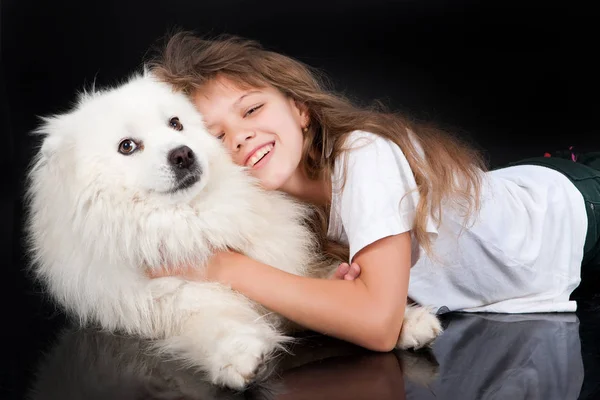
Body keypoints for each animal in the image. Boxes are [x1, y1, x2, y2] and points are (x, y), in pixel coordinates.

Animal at [25, 71, 442, 388]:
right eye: (127, 146)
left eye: (175, 123)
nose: (182, 154)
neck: (196, 220)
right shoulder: (172, 306)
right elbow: (214, 323)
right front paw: (239, 355)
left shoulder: (289, 267)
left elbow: (332, 290)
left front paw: (409, 320)